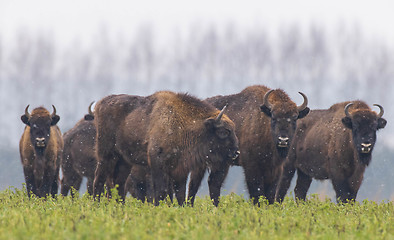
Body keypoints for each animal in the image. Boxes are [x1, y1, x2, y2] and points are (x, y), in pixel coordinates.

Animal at [93, 91, 240, 205]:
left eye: (233, 129)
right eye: (223, 132)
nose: (236, 152)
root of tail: (100, 104)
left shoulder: (181, 170)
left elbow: (180, 194)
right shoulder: (157, 164)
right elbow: (160, 192)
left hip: (125, 161)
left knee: (119, 184)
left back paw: (120, 207)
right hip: (106, 155)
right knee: (99, 179)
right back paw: (96, 205)